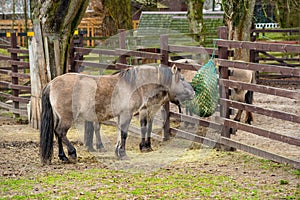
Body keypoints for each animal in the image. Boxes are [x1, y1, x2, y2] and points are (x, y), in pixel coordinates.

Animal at [39, 65, 195, 165]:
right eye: (181, 78)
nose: (194, 92)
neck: (133, 84)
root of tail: (51, 83)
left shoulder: (121, 115)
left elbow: (120, 133)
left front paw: (117, 152)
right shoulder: (127, 114)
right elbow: (124, 134)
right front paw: (123, 154)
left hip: (60, 117)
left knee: (57, 134)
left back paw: (63, 157)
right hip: (67, 118)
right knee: (60, 132)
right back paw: (72, 153)